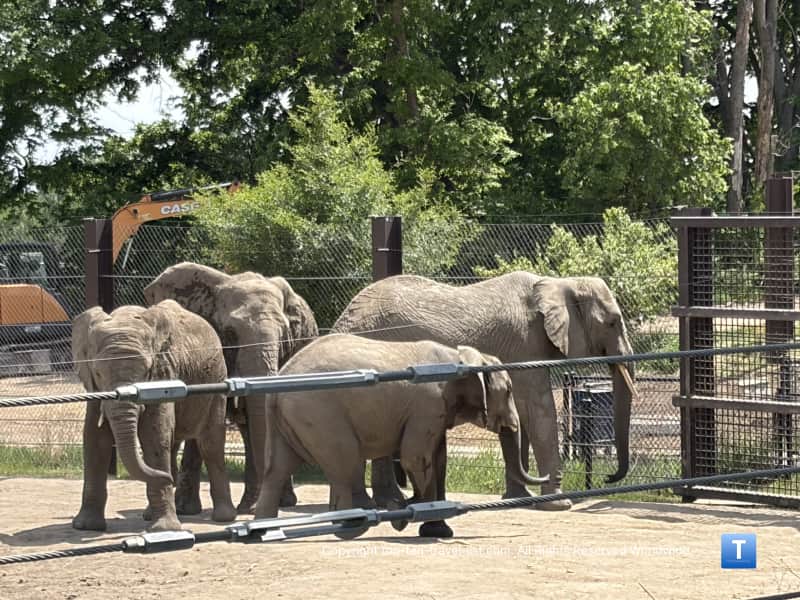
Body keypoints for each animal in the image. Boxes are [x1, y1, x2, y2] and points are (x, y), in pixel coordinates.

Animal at [71, 300, 237, 532]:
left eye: (146, 371)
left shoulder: (164, 372)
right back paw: (154, 511)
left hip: (217, 381)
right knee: (175, 442)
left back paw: (223, 517)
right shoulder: (94, 388)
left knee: (209, 443)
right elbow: (95, 438)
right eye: (98, 373)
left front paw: (165, 529)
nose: (168, 479)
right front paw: (86, 527)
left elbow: (154, 434)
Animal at [143, 262, 319, 514]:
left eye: (284, 335)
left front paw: (251, 508)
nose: (256, 509)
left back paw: (280, 503)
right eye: (230, 333)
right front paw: (186, 509)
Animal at [254, 334, 548, 538]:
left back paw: (265, 531)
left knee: (276, 470)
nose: (546, 477)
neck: (459, 355)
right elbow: (416, 459)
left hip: (288, 420)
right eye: (508, 391)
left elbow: (438, 460)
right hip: (319, 414)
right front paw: (410, 516)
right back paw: (355, 527)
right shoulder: (428, 404)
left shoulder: (436, 412)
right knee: (346, 465)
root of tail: (282, 376)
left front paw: (436, 530)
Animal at [332, 272, 637, 510]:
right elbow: (537, 410)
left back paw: (386, 503)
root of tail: (341, 319)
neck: (556, 282)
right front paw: (558, 505)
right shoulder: (523, 342)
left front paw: (518, 498)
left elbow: (519, 413)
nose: (609, 477)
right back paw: (379, 505)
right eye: (612, 322)